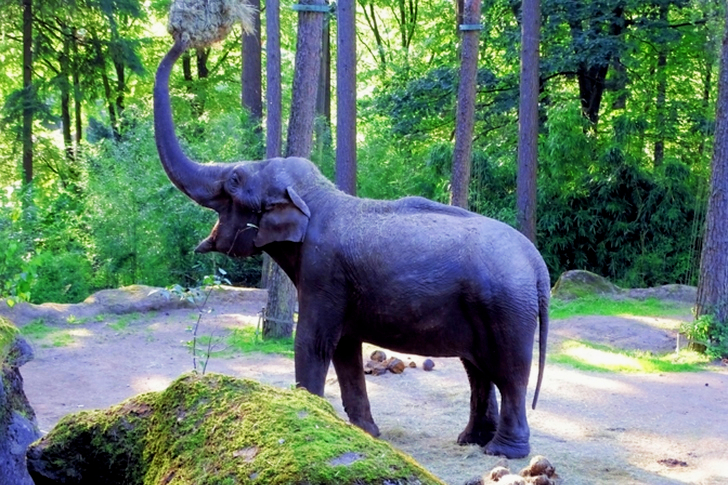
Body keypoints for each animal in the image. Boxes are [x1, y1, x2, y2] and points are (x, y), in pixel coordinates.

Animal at [154, 39, 549, 459]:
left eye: (233, 180)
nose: (183, 38)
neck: (317, 196)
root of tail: (537, 265)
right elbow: (345, 348)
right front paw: (367, 433)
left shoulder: (323, 273)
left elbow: (313, 342)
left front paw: (311, 419)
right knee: (478, 369)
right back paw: (472, 440)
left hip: (507, 308)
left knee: (509, 373)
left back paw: (502, 452)